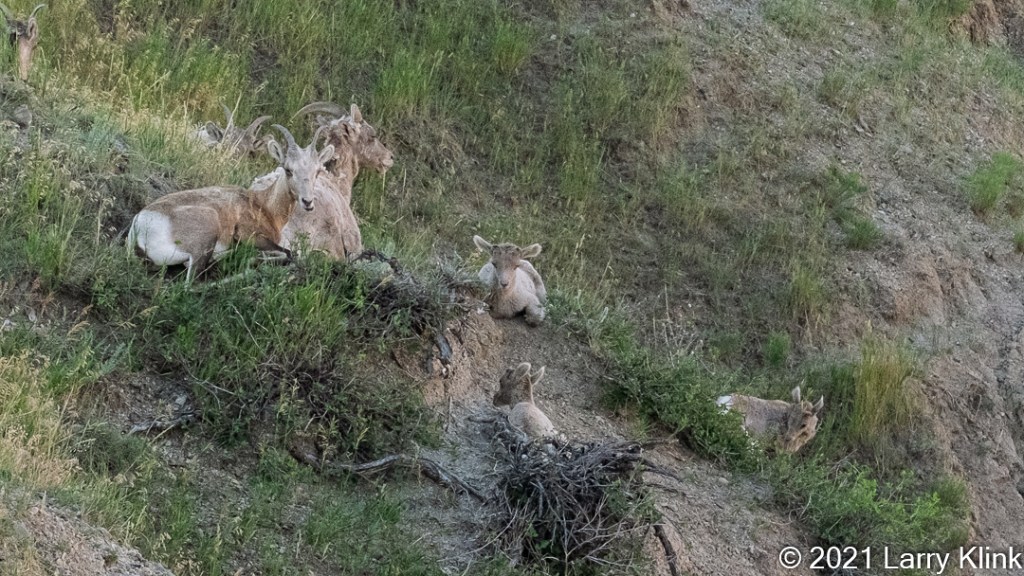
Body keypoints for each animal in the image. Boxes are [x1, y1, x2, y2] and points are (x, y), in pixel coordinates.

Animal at [127, 124, 334, 283]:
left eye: (317, 171)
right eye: (289, 169)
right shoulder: (249, 235)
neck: (263, 205)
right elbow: (289, 253)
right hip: (205, 236)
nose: (308, 202)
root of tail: (141, 224)